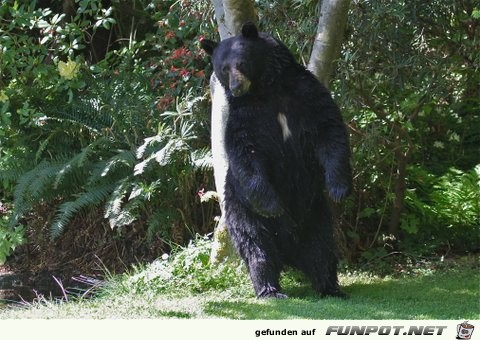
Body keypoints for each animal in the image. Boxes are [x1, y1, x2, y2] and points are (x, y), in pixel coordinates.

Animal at [201, 23, 350, 298]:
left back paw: (330, 287)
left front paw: (338, 189)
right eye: (223, 69)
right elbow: (247, 154)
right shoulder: (245, 117)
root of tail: (290, 254)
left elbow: (330, 129)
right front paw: (273, 206)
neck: (267, 91)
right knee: (257, 246)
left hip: (316, 212)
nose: (236, 87)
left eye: (241, 62)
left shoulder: (305, 95)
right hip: (242, 209)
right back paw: (269, 288)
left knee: (322, 248)